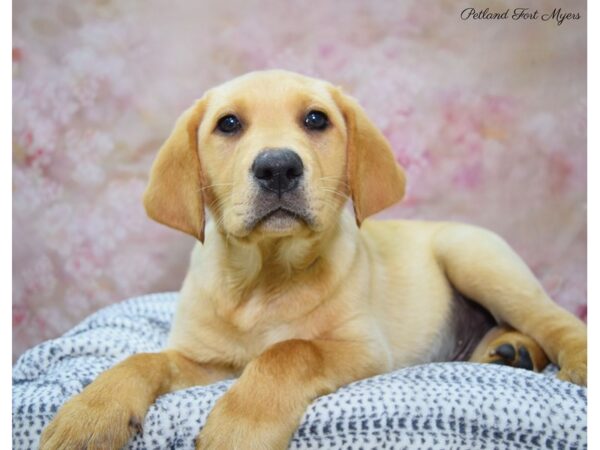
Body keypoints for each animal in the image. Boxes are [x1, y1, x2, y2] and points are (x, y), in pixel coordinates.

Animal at [41, 70, 584, 450]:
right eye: (228, 124)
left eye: (316, 119)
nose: (278, 166)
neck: (265, 277)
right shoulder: (207, 361)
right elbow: (140, 360)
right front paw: (89, 413)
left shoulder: (362, 348)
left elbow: (289, 351)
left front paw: (240, 425)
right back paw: (508, 351)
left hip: (476, 258)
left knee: (550, 317)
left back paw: (566, 358)